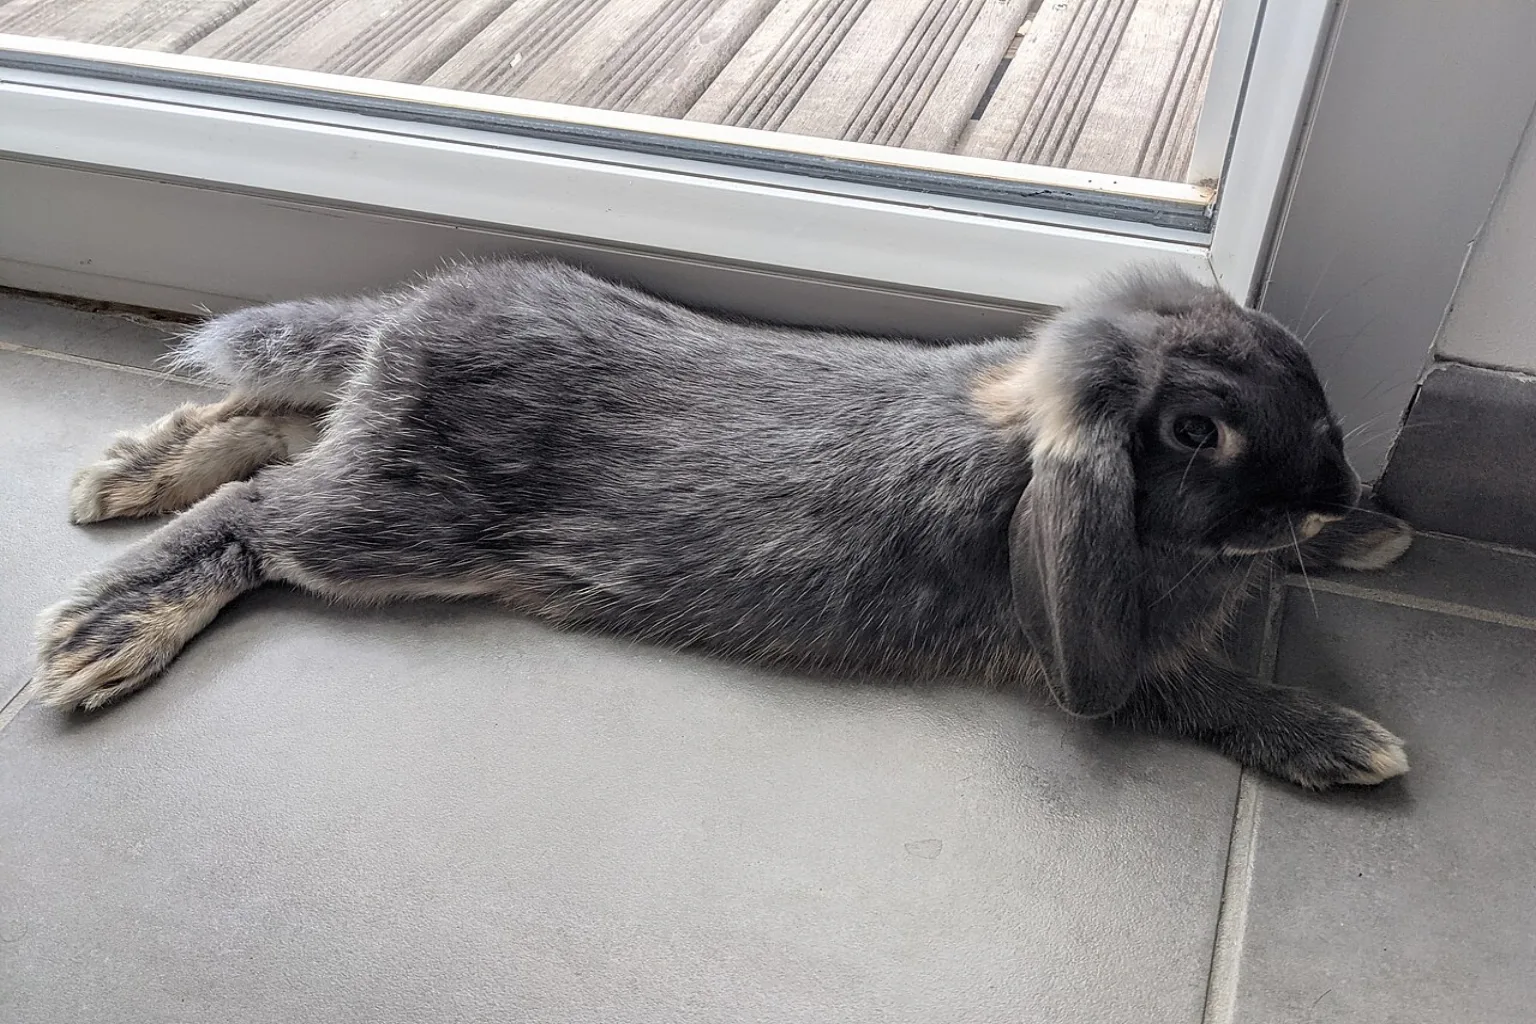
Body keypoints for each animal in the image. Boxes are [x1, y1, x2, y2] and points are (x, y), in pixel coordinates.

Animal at [33, 257, 1416, 790]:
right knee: (261, 509)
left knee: (268, 419)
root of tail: (402, 330)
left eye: (1292, 358)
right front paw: (1350, 741)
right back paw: (105, 625)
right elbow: (1202, 695)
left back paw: (125, 469)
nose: (1336, 484)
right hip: (392, 522)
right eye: (1195, 431)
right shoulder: (1099, 652)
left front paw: (1375, 542)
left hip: (368, 456)